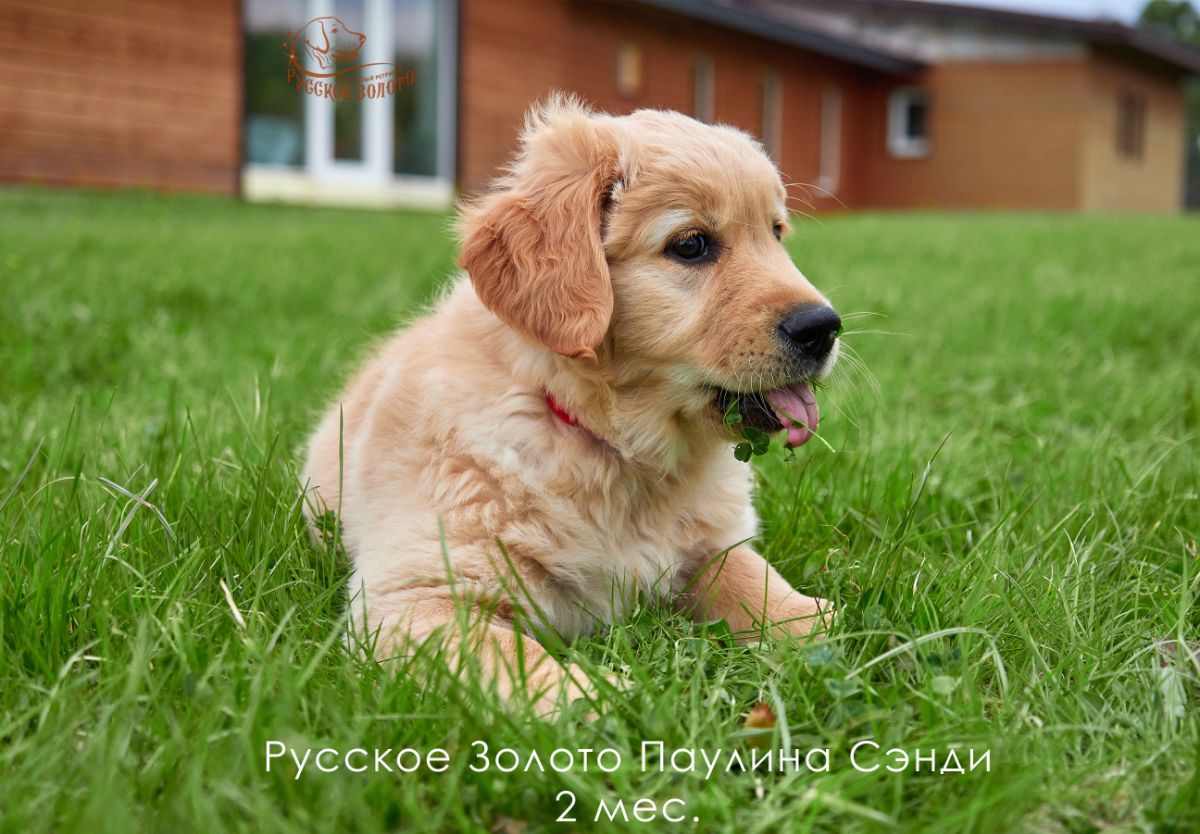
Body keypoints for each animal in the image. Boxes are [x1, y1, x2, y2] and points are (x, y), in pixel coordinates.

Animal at [304, 96, 840, 710]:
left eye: (776, 233)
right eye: (691, 245)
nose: (824, 328)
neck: (618, 454)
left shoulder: (711, 548)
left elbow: (757, 581)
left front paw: (830, 626)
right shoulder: (414, 599)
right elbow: (520, 661)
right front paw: (612, 704)